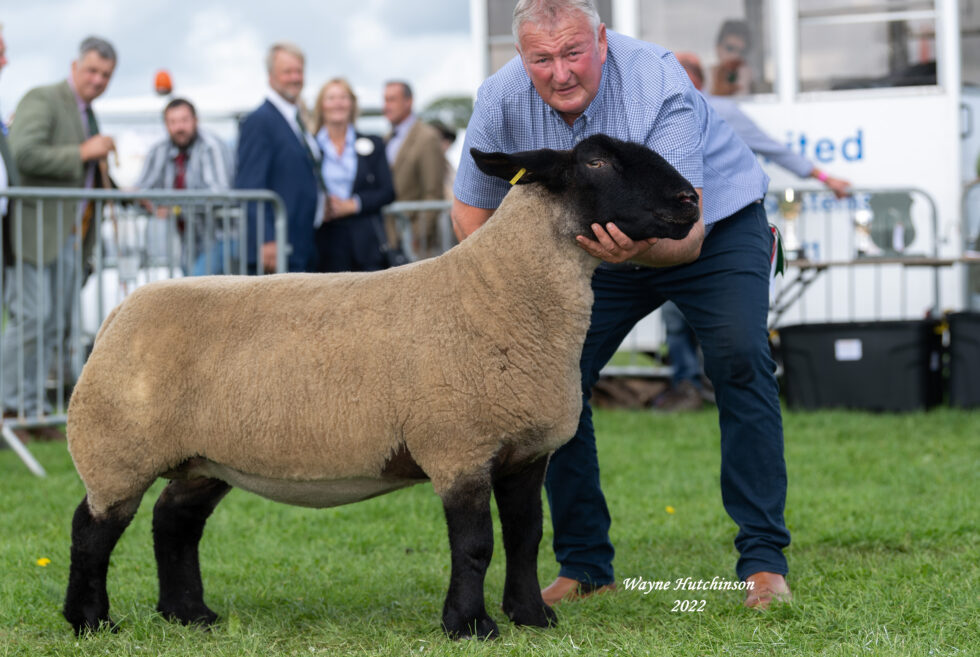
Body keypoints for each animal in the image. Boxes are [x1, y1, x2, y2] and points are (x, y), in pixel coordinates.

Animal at [62, 133, 701, 640]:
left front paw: (532, 618)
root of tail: (119, 311)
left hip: (205, 457)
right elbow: (476, 545)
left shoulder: (525, 451)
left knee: (174, 522)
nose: (690, 201)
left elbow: (526, 537)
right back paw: (91, 621)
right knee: (92, 530)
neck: (497, 292)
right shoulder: (458, 446)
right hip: (118, 448)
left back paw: (189, 615)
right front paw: (469, 626)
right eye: (596, 161)